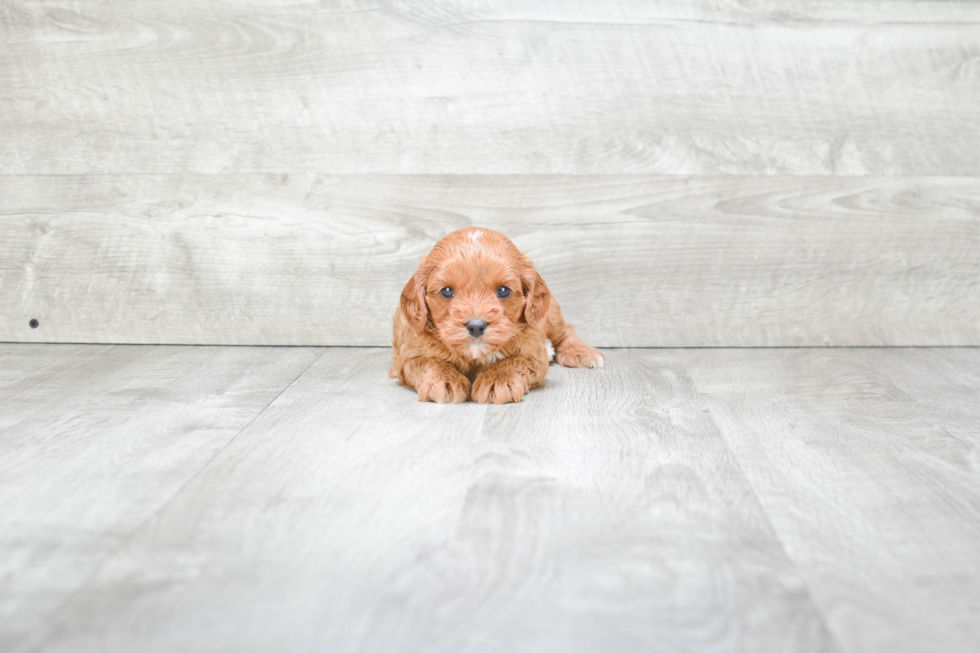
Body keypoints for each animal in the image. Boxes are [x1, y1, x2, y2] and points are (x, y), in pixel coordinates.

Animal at [386, 228, 600, 402]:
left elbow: (515, 361)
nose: (476, 326)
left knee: (565, 332)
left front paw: (498, 381)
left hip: (551, 315)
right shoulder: (409, 354)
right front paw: (444, 380)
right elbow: (430, 362)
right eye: (446, 291)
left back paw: (582, 352)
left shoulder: (533, 351)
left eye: (503, 290)